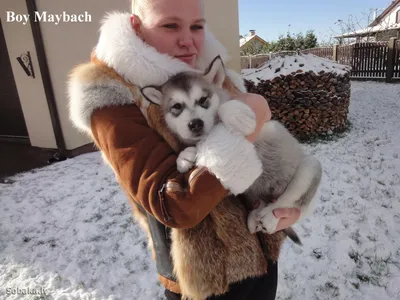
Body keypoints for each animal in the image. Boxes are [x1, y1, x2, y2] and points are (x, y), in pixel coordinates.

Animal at [141, 56, 322, 244]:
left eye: (203, 99)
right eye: (177, 106)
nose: (195, 123)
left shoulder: (266, 126)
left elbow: (225, 107)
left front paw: (236, 115)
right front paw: (185, 156)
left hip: (309, 168)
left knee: (287, 202)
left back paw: (270, 218)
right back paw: (254, 218)